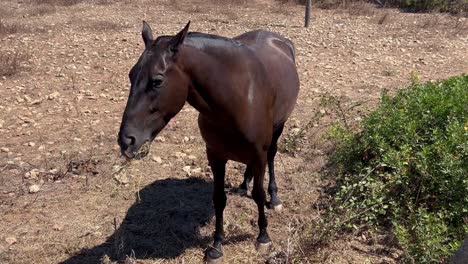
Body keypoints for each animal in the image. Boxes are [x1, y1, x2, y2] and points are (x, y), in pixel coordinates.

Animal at [118, 20, 300, 262]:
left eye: (157, 81)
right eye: (130, 75)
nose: (126, 140)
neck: (238, 97)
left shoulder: (259, 154)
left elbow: (259, 194)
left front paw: (263, 236)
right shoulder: (215, 155)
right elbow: (219, 198)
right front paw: (216, 245)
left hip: (278, 129)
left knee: (272, 158)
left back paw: (275, 197)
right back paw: (244, 184)